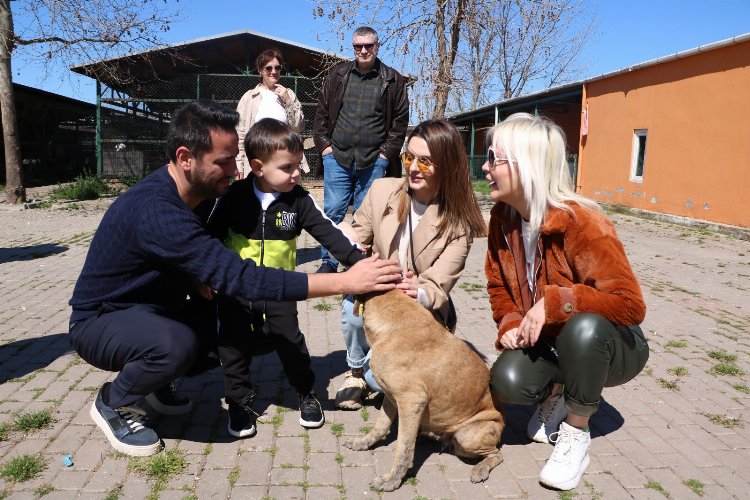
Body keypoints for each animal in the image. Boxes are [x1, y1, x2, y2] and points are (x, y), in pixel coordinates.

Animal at [346, 290, 508, 492]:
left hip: (468, 436)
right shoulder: (391, 397)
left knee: (497, 454)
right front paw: (363, 442)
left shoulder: (411, 401)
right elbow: (380, 426)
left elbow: (404, 448)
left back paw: (481, 468)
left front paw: (392, 479)